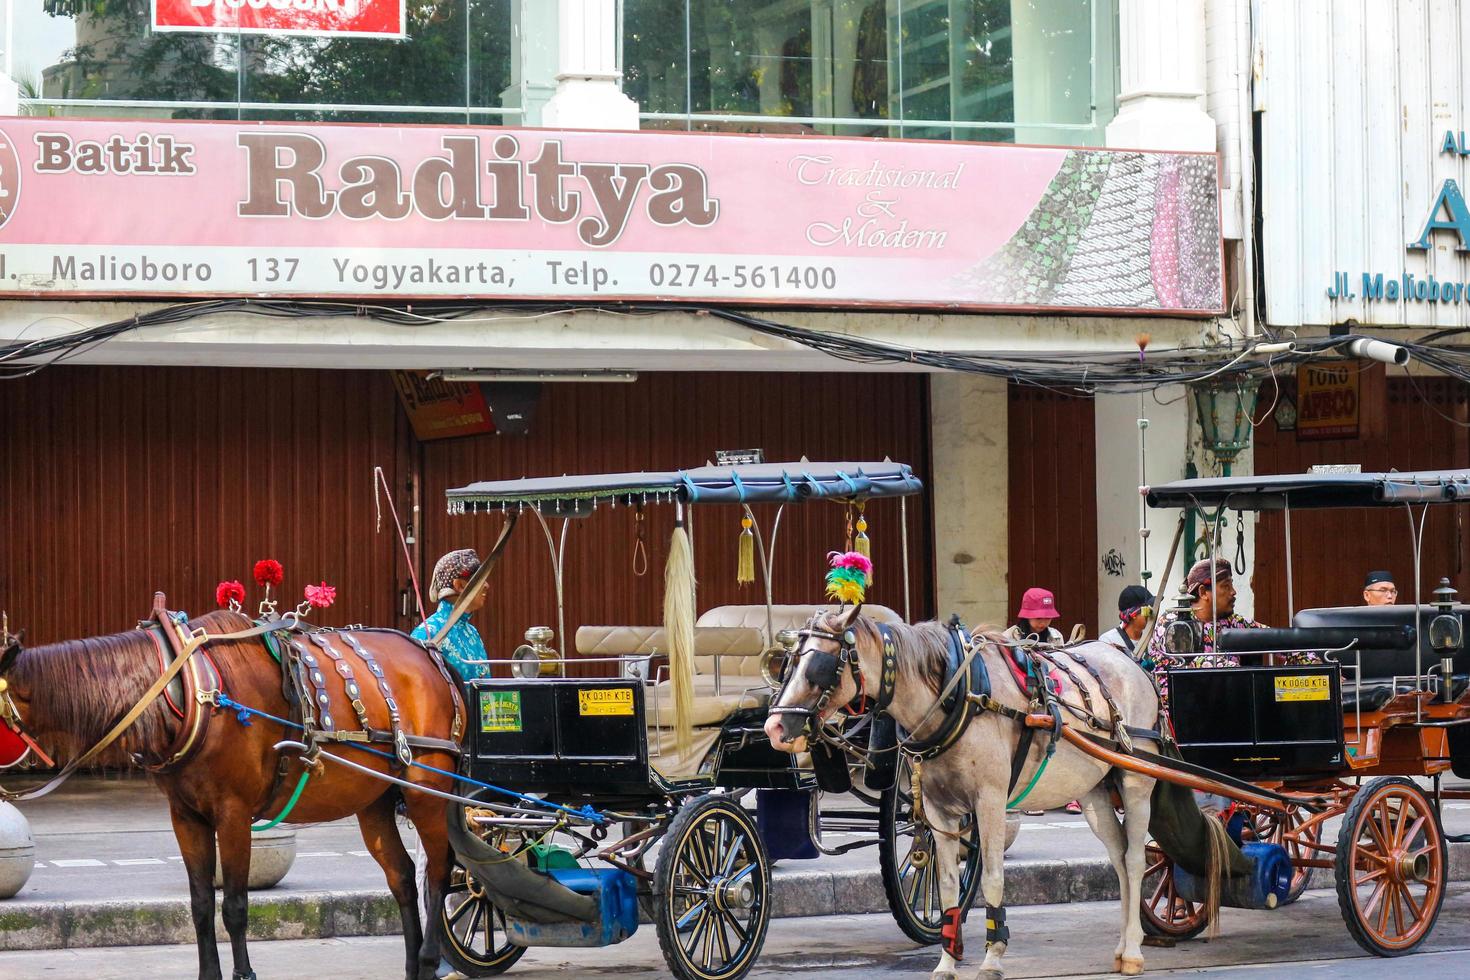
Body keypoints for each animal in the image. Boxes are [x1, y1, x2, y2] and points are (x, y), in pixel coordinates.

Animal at [0, 608, 461, 975]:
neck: (187, 690)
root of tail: (430, 654)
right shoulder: (186, 816)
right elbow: (202, 905)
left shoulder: (234, 814)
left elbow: (235, 907)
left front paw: (244, 973)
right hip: (375, 799)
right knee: (402, 877)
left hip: (427, 789)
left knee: (438, 873)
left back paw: (429, 959)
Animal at [770, 608, 1170, 975]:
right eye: (788, 664)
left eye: (820, 666)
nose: (774, 727)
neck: (960, 695)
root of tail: (1134, 663)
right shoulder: (937, 810)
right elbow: (947, 886)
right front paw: (947, 960)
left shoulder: (989, 801)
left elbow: (992, 879)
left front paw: (993, 957)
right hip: (1093, 790)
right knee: (1118, 856)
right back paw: (1122, 945)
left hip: (1135, 782)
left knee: (1135, 859)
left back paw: (1133, 950)